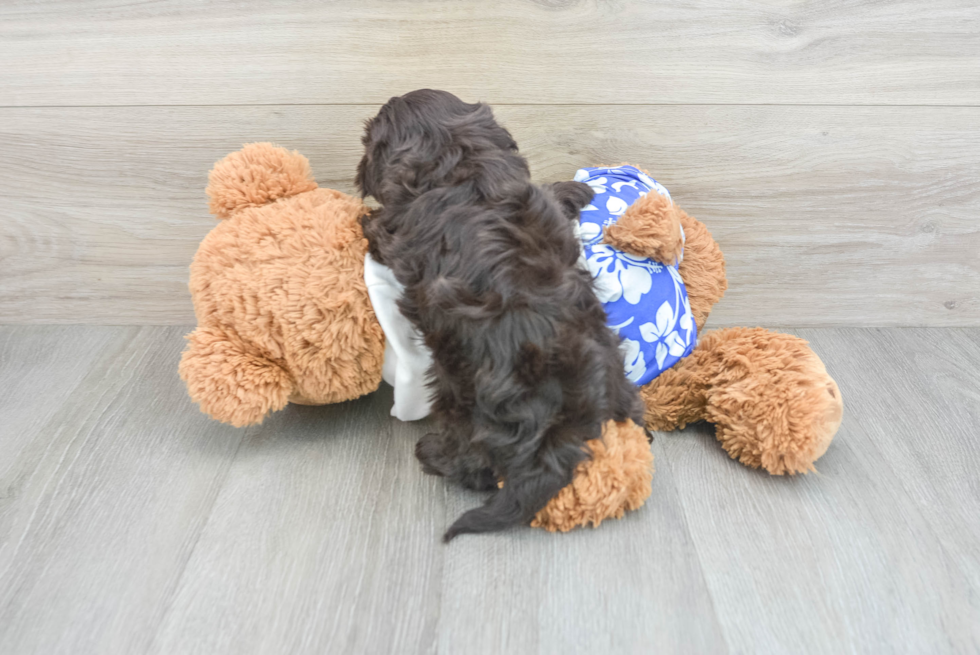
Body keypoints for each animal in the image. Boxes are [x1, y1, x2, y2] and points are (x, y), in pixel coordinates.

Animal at [352, 92, 644, 544]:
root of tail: (559, 426)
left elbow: (375, 228)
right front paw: (575, 188)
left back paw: (431, 453)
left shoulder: (393, 232)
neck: (459, 162)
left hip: (458, 395)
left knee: (473, 464)